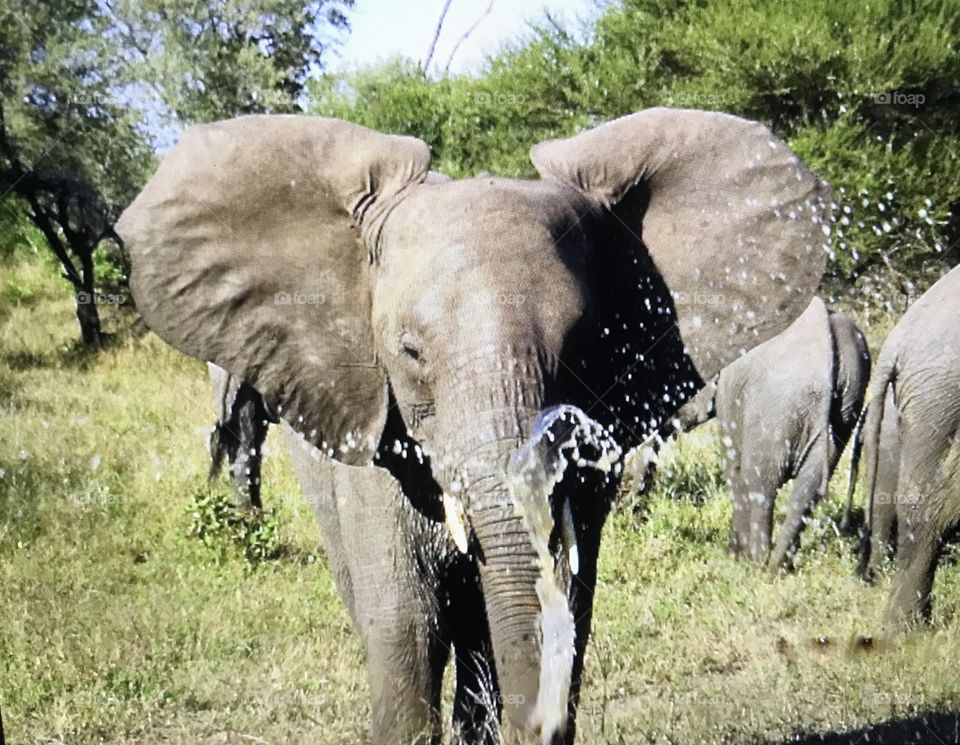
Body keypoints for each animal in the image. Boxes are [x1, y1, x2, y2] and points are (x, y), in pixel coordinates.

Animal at [714, 298, 871, 569]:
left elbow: (734, 468)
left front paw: (733, 556)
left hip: (774, 405)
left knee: (761, 482)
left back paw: (758, 562)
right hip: (847, 401)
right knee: (807, 490)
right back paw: (779, 566)